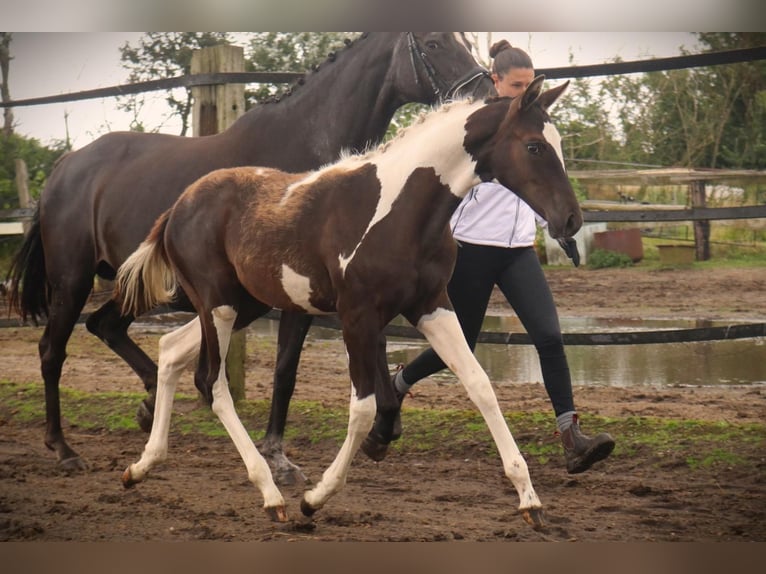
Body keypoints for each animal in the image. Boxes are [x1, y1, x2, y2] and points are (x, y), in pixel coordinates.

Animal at [6, 32, 492, 472]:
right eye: (432, 43)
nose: (484, 95)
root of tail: (65, 167)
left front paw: (378, 434)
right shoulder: (308, 298)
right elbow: (285, 371)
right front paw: (277, 455)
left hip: (139, 286)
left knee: (105, 326)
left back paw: (147, 405)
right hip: (72, 280)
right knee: (52, 351)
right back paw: (64, 449)